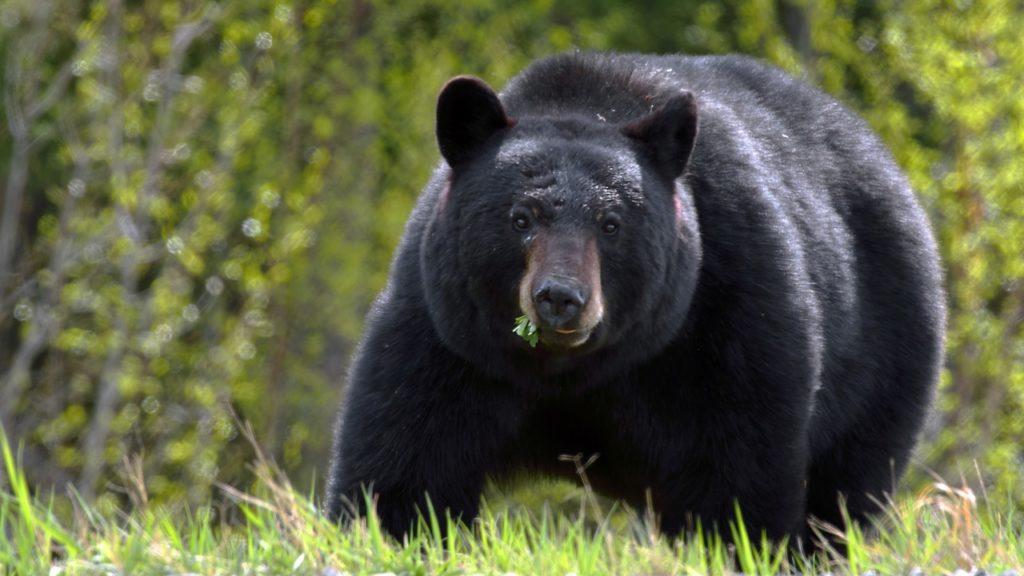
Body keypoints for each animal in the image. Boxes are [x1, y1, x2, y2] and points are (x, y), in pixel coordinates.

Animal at [323, 52, 946, 541]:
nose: (560, 299)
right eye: (521, 218)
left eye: (612, 224)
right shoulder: (448, 331)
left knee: (843, 494)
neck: (570, 370)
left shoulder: (727, 311)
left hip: (886, 352)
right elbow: (407, 461)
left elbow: (737, 466)